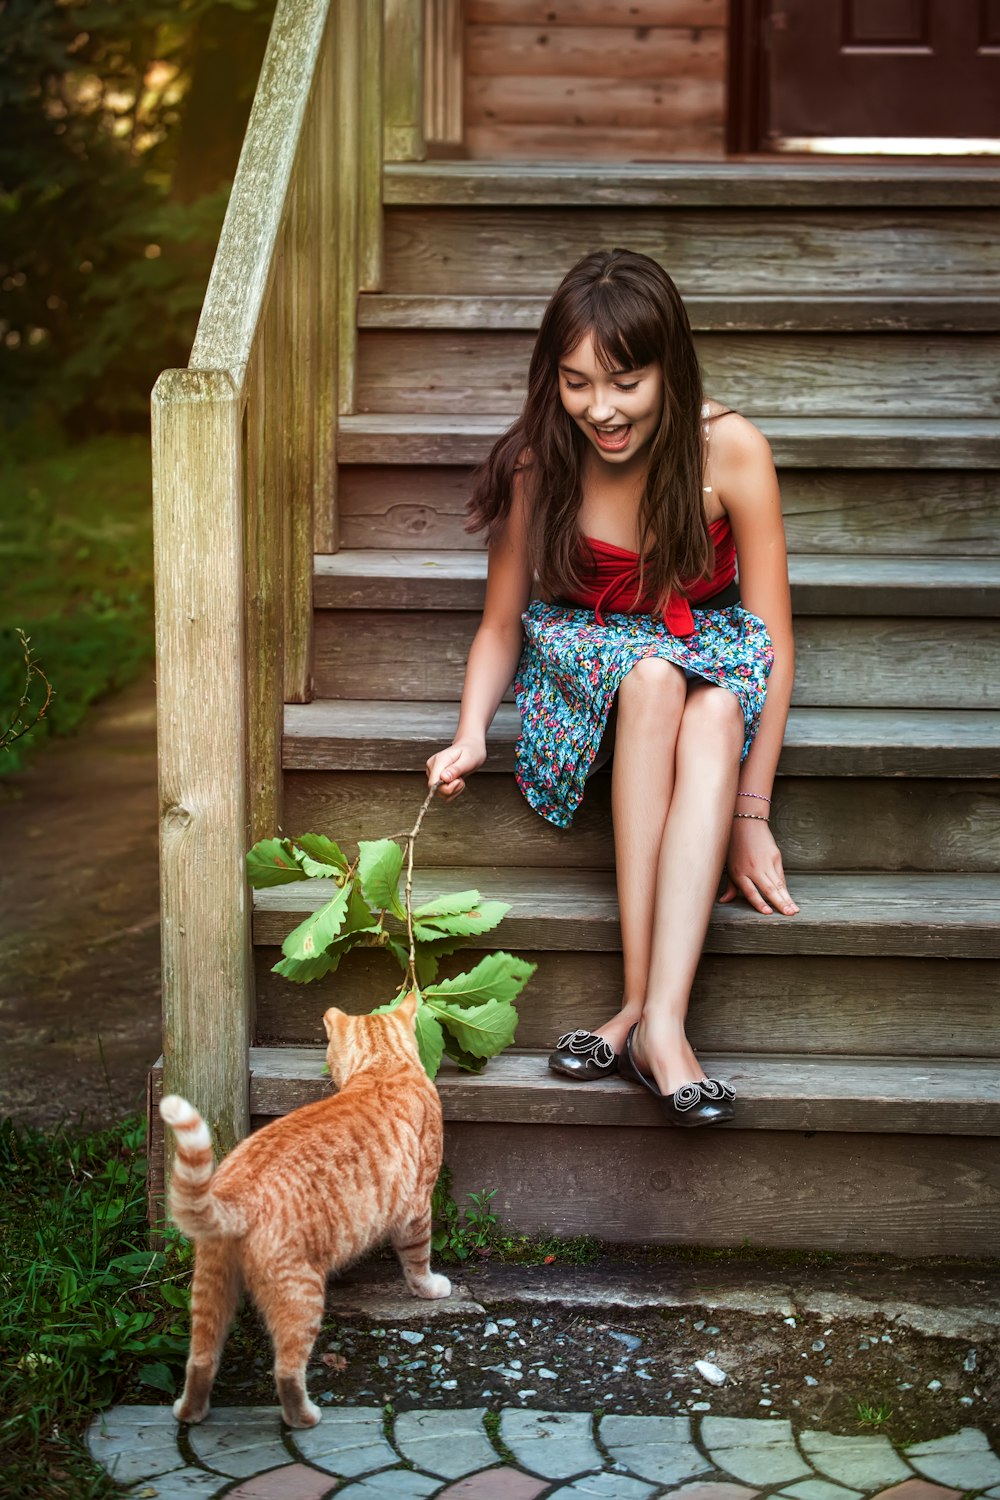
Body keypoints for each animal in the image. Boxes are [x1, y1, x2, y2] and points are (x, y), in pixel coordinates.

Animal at [159, 996, 449, 1428]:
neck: (383, 1066)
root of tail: (236, 1192)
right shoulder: (416, 1209)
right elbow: (417, 1261)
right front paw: (428, 1288)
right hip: (301, 1293)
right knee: (285, 1369)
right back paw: (304, 1416)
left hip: (211, 1289)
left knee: (200, 1360)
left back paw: (190, 1412)